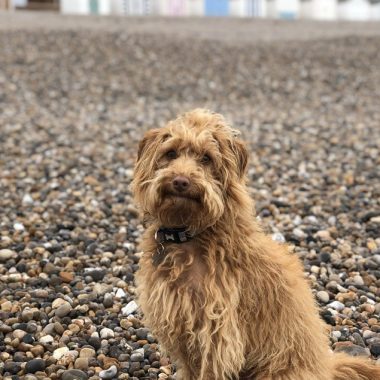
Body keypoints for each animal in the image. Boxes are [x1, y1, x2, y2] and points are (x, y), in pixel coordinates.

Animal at [131, 108, 380, 378]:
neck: (190, 233)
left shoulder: (217, 334)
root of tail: (326, 367)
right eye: (171, 153)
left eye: (206, 158)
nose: (180, 181)